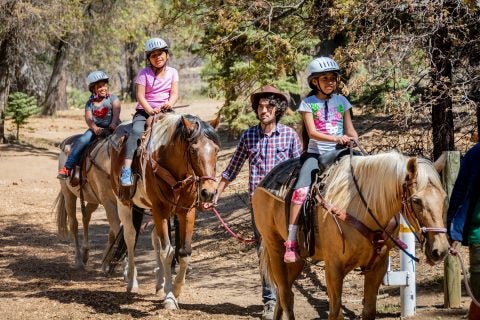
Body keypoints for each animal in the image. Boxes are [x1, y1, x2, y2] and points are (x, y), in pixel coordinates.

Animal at [54, 136, 121, 268]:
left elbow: (113, 233)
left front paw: (106, 262)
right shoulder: (109, 202)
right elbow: (118, 233)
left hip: (93, 200)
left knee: (86, 217)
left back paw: (85, 253)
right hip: (68, 194)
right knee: (74, 224)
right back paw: (79, 260)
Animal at [109, 112, 219, 308]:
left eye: (216, 150)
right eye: (193, 150)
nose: (209, 193)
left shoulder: (186, 211)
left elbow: (183, 252)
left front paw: (175, 290)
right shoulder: (160, 209)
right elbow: (167, 252)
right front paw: (169, 297)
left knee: (154, 238)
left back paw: (159, 283)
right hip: (124, 203)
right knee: (130, 237)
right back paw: (132, 282)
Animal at [253, 151, 452, 318]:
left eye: (444, 197)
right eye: (416, 200)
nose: (440, 250)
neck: (360, 207)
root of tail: (265, 180)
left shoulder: (377, 267)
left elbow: (369, 310)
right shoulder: (333, 268)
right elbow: (335, 312)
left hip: (298, 259)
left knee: (283, 294)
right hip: (274, 247)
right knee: (285, 295)